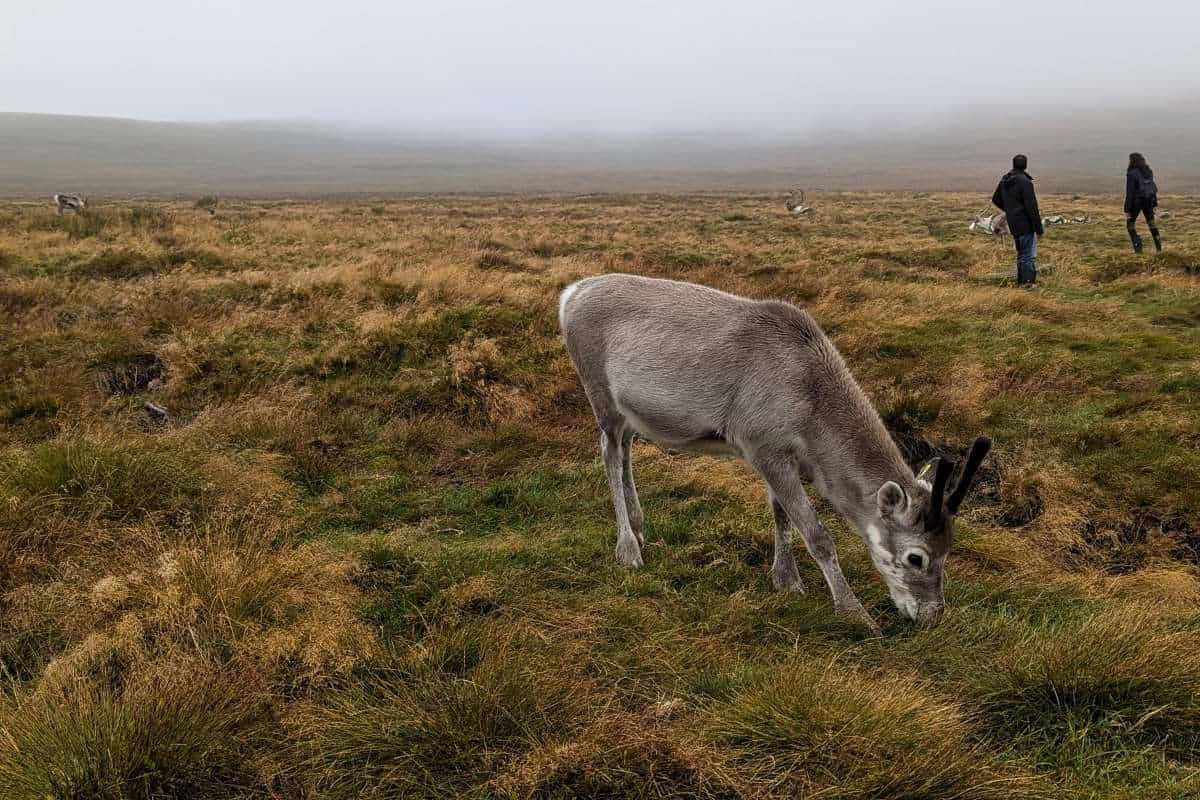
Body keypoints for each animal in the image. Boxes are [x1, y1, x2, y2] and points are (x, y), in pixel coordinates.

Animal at [559, 274, 991, 632]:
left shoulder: (780, 454)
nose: (932, 616)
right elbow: (817, 534)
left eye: (950, 548)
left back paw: (638, 525)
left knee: (625, 448)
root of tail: (569, 295)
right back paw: (628, 548)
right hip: (599, 393)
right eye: (917, 556)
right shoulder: (762, 444)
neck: (812, 414)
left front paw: (786, 580)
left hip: (629, 411)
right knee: (609, 453)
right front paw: (854, 612)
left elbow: (780, 513)